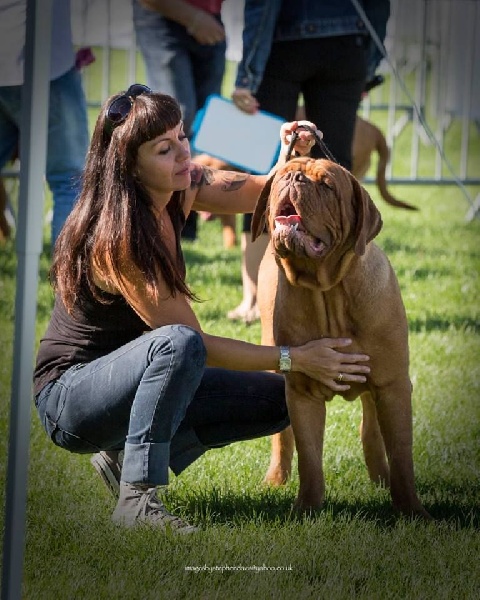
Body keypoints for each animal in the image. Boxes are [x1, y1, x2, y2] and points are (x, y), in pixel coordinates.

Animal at [255, 157, 432, 516]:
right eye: (283, 175)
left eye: (326, 185)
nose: (294, 177)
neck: (329, 292)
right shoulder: (301, 392)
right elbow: (309, 457)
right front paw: (305, 510)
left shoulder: (393, 385)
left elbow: (401, 453)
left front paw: (411, 510)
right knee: (284, 438)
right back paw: (276, 478)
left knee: (371, 428)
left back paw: (381, 478)